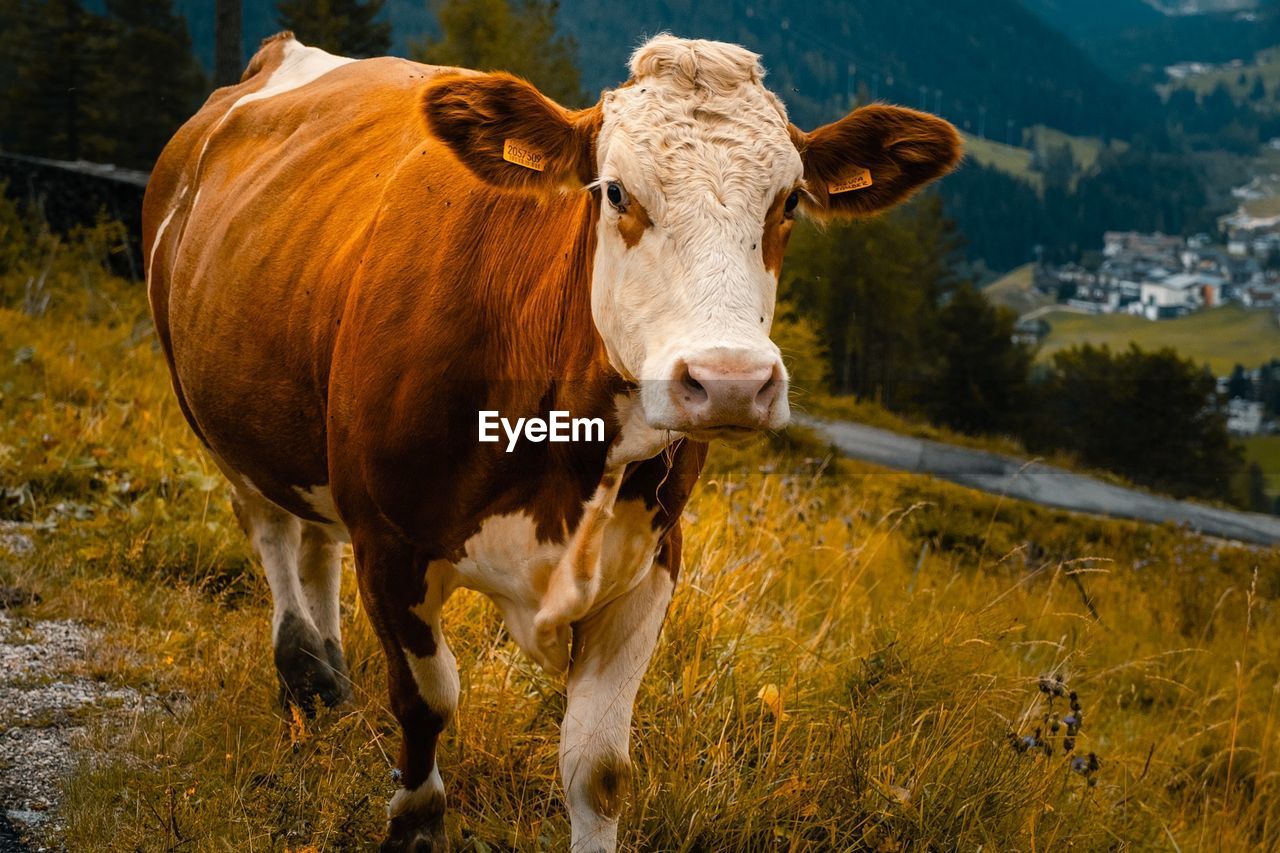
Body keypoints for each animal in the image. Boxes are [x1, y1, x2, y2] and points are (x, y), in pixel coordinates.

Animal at [142, 29, 962, 845]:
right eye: (616, 191)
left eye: (788, 200)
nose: (730, 380)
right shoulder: (389, 541)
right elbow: (427, 701)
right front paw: (414, 817)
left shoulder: (651, 562)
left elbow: (598, 764)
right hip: (212, 409)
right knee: (271, 526)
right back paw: (303, 667)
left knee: (314, 535)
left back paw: (331, 674)